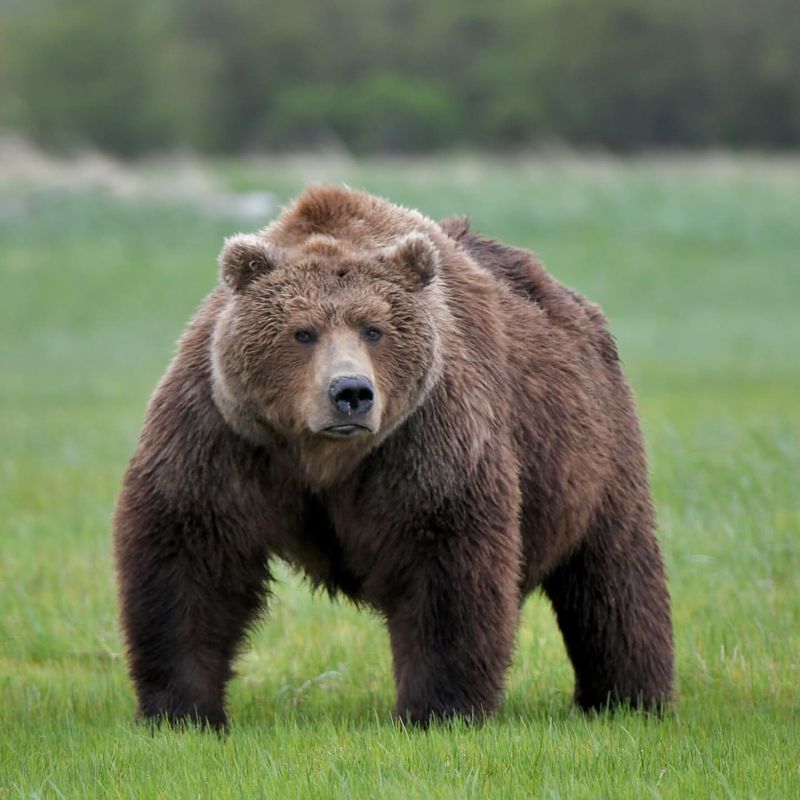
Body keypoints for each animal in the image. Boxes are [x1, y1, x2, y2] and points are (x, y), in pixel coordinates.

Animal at [114, 184, 676, 728]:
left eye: (374, 329)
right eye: (302, 331)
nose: (351, 392)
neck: (322, 454)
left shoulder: (423, 439)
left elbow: (445, 560)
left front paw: (441, 709)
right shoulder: (223, 432)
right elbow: (190, 554)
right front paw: (182, 710)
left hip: (591, 450)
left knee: (612, 576)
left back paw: (627, 697)